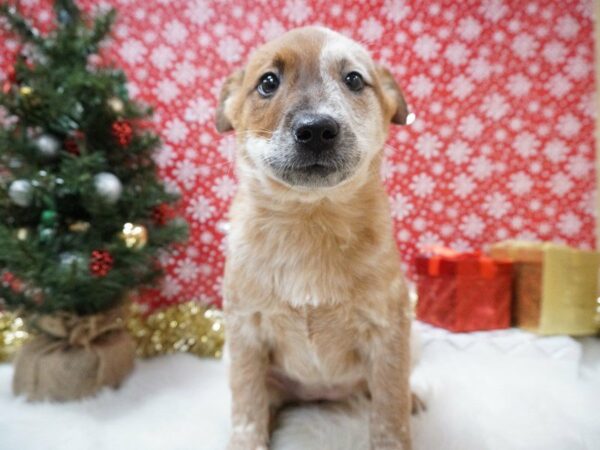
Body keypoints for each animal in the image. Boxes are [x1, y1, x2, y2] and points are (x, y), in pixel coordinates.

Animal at [218, 26, 414, 448]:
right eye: (268, 82)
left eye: (354, 79)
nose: (316, 130)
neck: (310, 221)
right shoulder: (246, 332)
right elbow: (247, 408)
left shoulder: (388, 331)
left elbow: (390, 413)